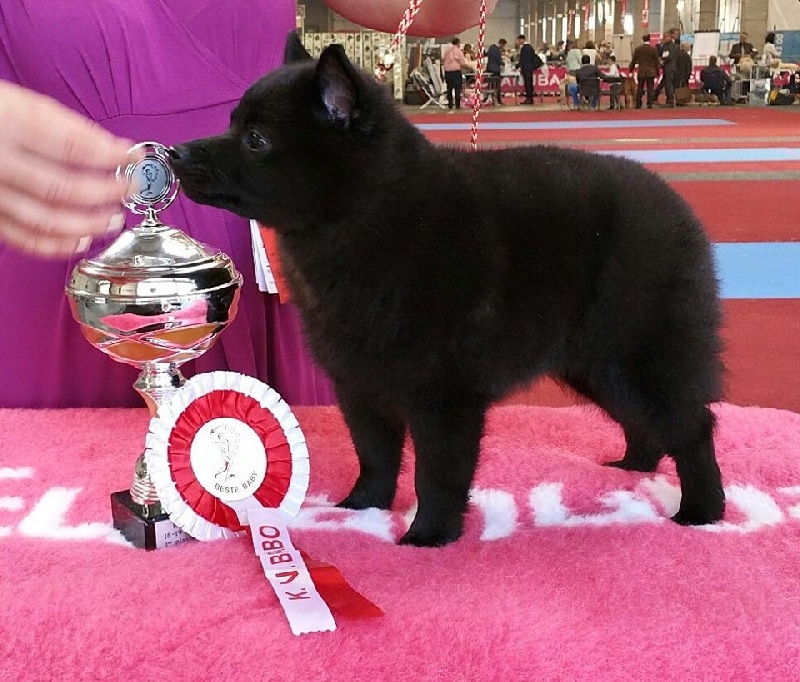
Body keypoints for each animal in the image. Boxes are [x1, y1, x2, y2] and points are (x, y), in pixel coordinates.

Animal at [170, 32, 726, 547]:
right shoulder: (359, 382)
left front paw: (428, 536)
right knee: (644, 420)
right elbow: (375, 454)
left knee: (692, 427)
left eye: (255, 139)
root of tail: (680, 209)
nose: (175, 151)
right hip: (599, 366)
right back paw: (635, 468)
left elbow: (436, 474)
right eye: (232, 123)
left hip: (641, 354)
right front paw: (361, 507)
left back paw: (702, 509)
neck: (371, 217)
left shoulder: (443, 393)